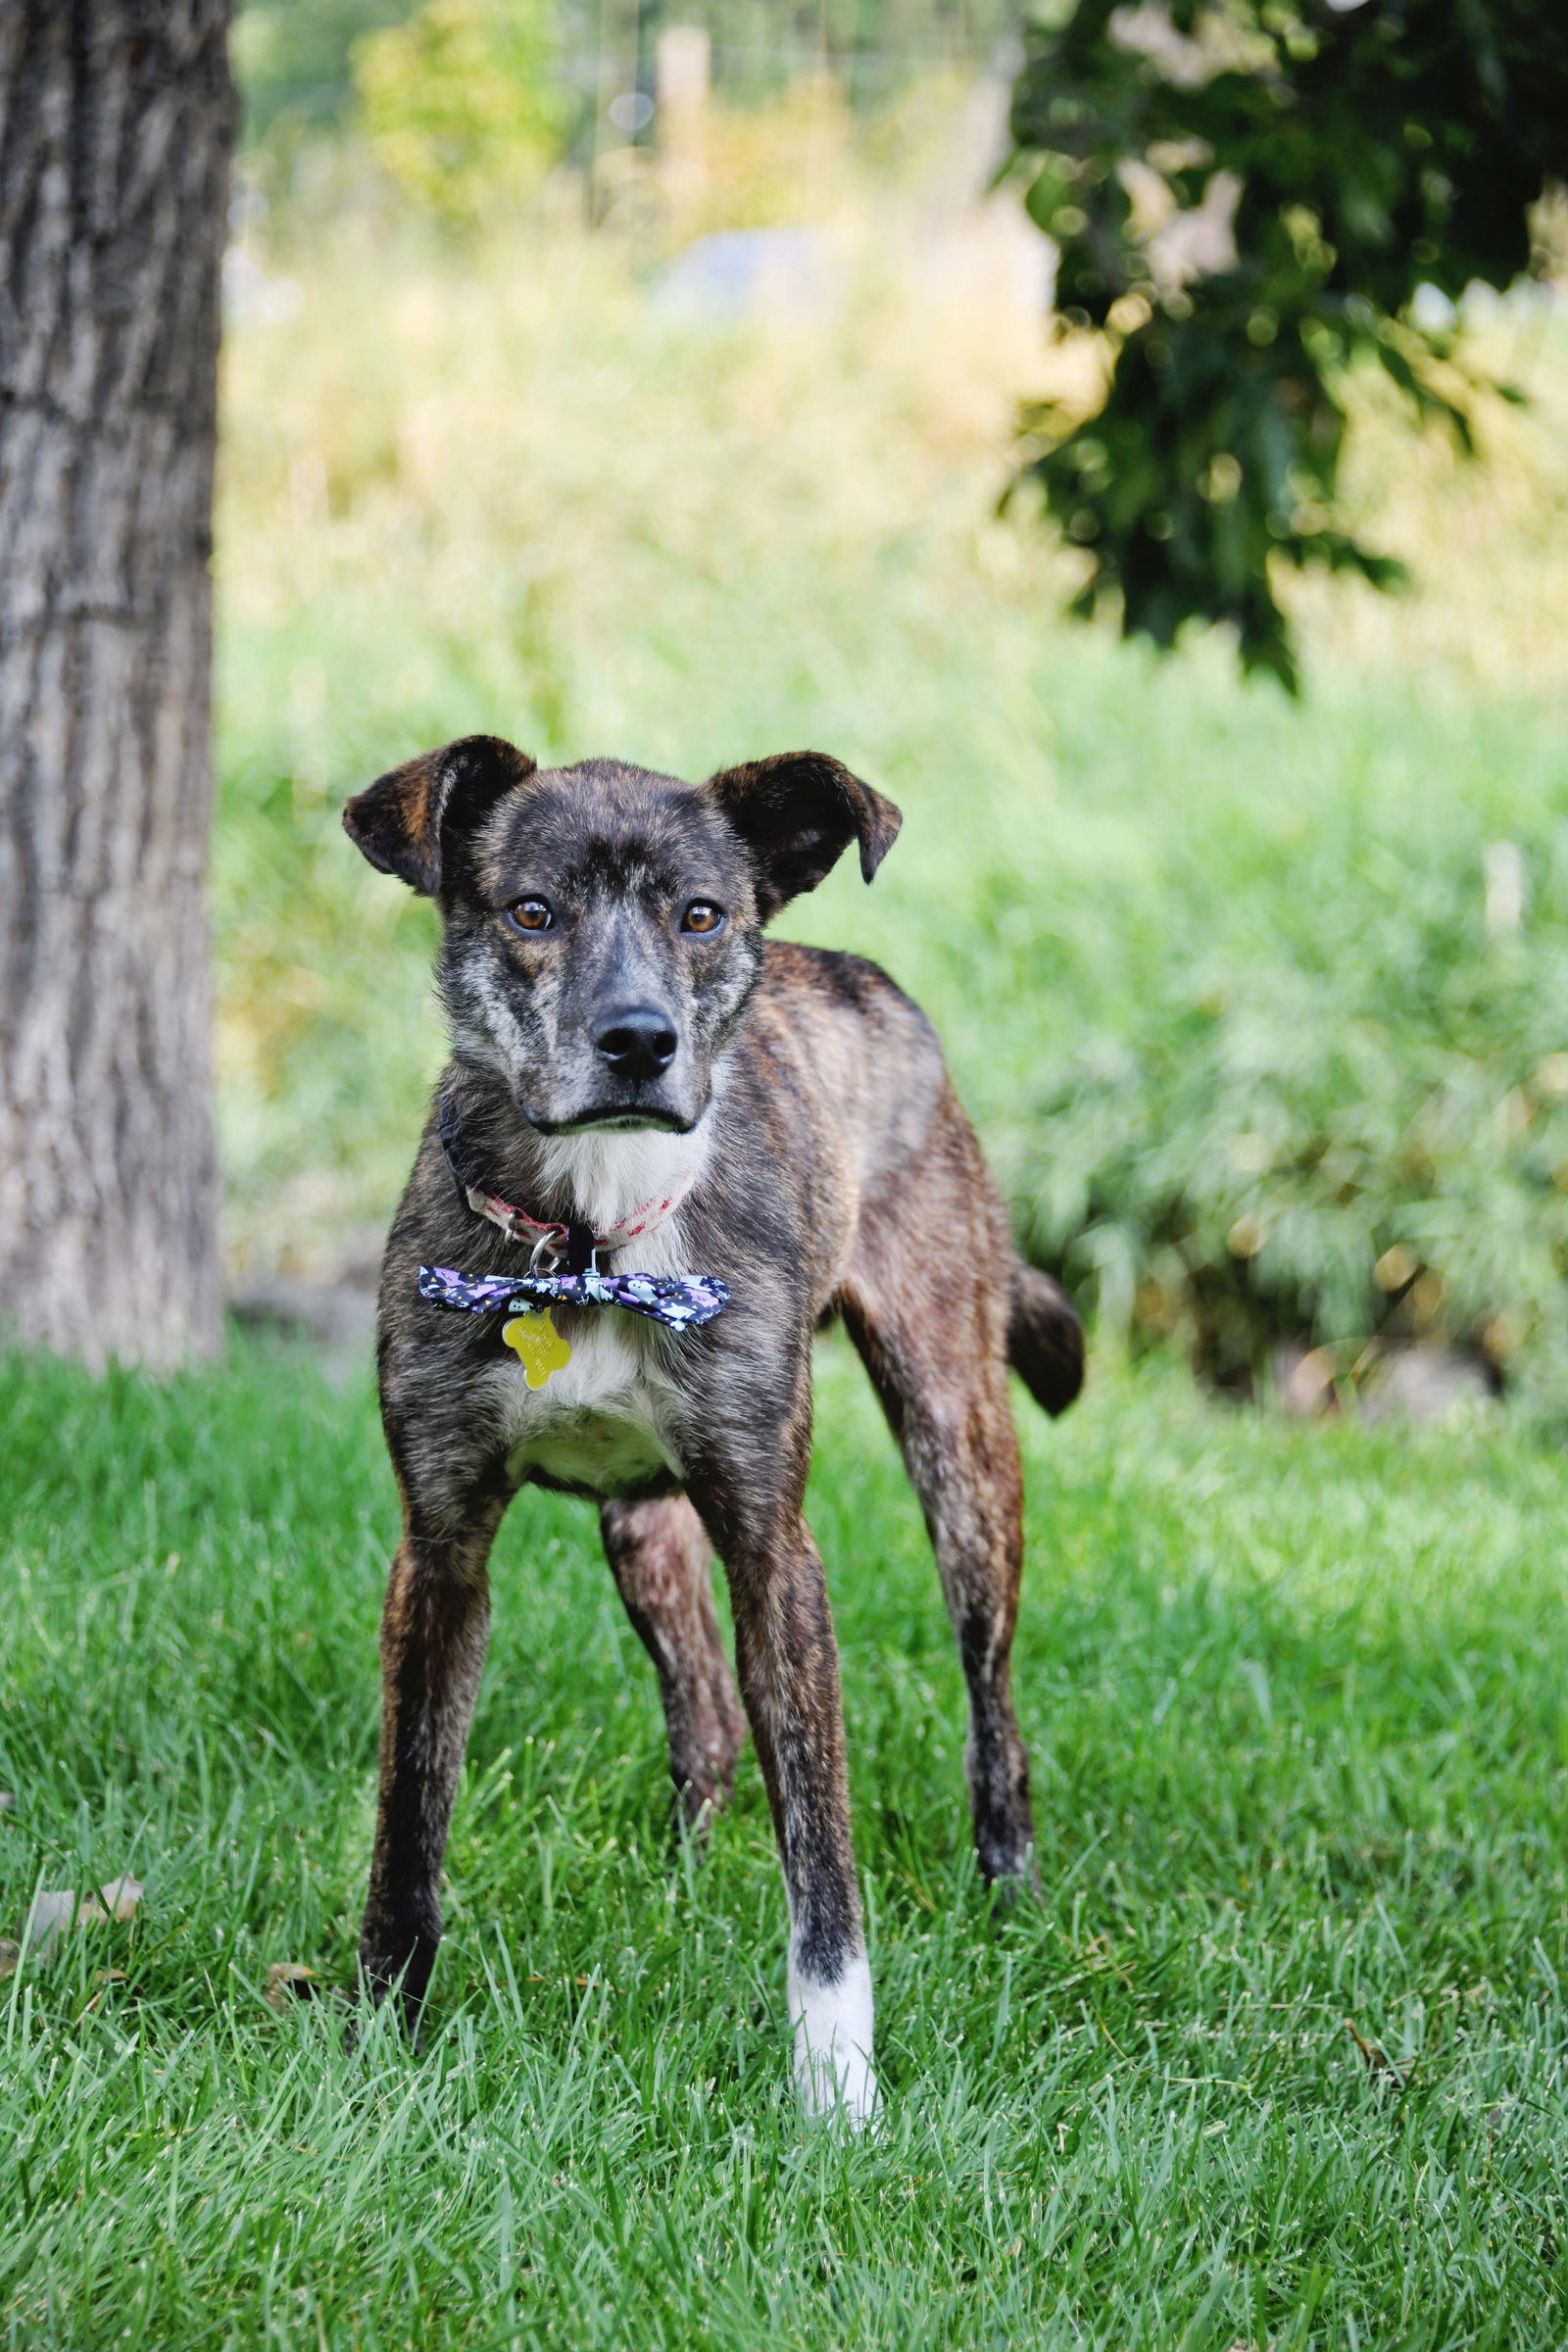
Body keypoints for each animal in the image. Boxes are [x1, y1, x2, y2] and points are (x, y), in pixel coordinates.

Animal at [340, 733, 1081, 2117]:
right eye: (532, 913)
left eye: (700, 916)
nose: (641, 1040)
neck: (592, 1238)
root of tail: (850, 968)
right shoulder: (441, 1550)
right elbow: (410, 1817)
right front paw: (378, 2044)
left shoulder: (771, 1546)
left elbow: (822, 1851)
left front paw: (838, 2090)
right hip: (644, 1530)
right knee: (706, 1715)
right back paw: (682, 1884)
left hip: (958, 1440)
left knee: (989, 1697)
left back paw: (1008, 1889)